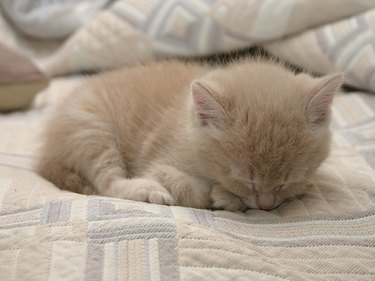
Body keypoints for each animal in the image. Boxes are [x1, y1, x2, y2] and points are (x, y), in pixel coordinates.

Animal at [36, 59, 342, 210]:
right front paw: (223, 196)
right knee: (107, 182)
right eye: (243, 180)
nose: (266, 206)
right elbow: (189, 188)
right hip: (90, 129)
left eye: (287, 182)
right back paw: (145, 190)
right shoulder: (158, 163)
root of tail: (47, 152)